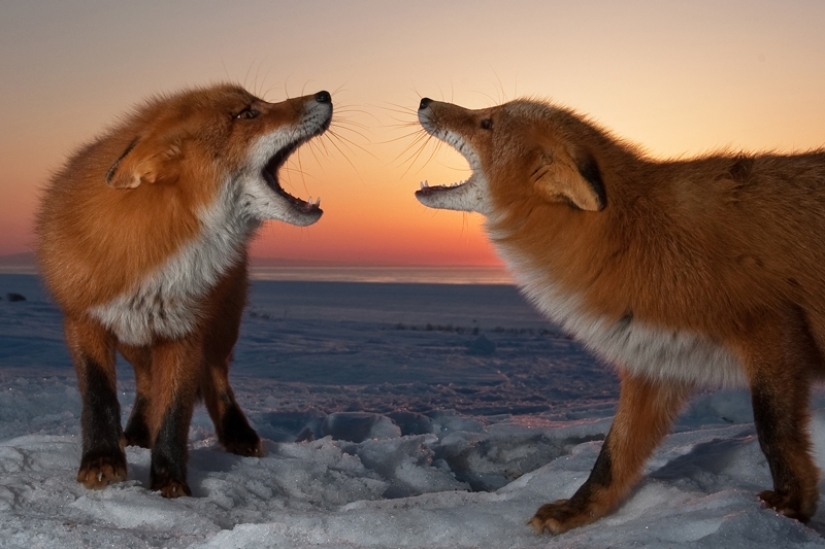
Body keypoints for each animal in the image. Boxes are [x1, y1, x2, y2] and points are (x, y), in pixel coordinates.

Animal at [36, 83, 332, 497]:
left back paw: (238, 433)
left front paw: (169, 481)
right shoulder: (83, 319)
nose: (325, 94)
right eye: (247, 113)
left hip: (221, 327)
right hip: (133, 337)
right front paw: (101, 462)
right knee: (146, 381)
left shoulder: (185, 330)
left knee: (217, 377)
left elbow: (175, 412)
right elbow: (99, 397)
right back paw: (138, 432)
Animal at [414, 96, 825, 533]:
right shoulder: (655, 360)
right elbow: (612, 456)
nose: (424, 101)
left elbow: (772, 431)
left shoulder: (771, 331)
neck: (633, 239)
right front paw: (576, 511)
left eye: (486, 122)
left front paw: (792, 505)